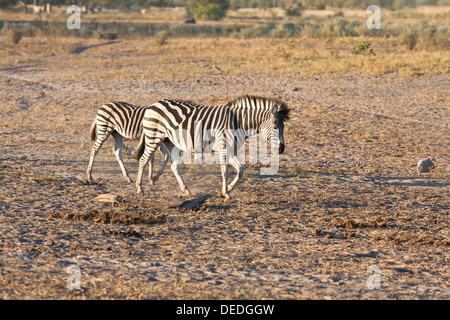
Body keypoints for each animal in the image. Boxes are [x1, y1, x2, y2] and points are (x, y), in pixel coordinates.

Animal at [134, 96, 290, 199]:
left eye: (283, 127)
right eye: (275, 127)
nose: (281, 149)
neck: (239, 122)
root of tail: (152, 105)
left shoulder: (232, 150)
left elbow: (240, 171)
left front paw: (229, 188)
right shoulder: (223, 147)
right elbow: (224, 171)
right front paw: (226, 193)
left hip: (171, 142)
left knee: (174, 166)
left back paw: (186, 190)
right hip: (153, 137)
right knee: (143, 160)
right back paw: (139, 188)